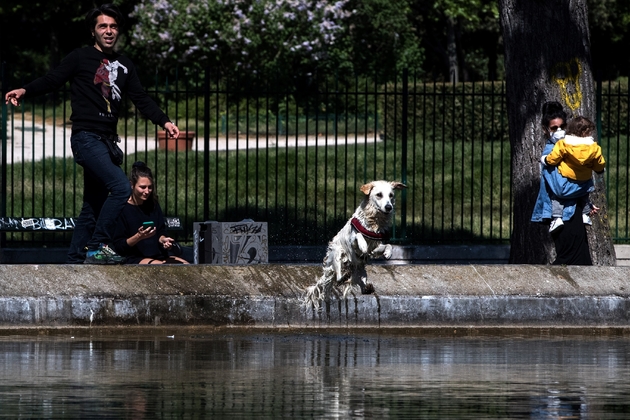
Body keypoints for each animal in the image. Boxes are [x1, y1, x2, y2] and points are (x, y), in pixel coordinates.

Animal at [302, 180, 410, 308]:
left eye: (391, 195)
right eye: (379, 195)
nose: (389, 207)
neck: (374, 221)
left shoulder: (374, 248)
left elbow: (388, 245)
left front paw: (388, 253)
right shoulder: (352, 240)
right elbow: (358, 236)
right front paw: (363, 245)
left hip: (361, 271)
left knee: (358, 283)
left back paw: (367, 287)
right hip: (337, 255)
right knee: (338, 277)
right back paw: (343, 276)